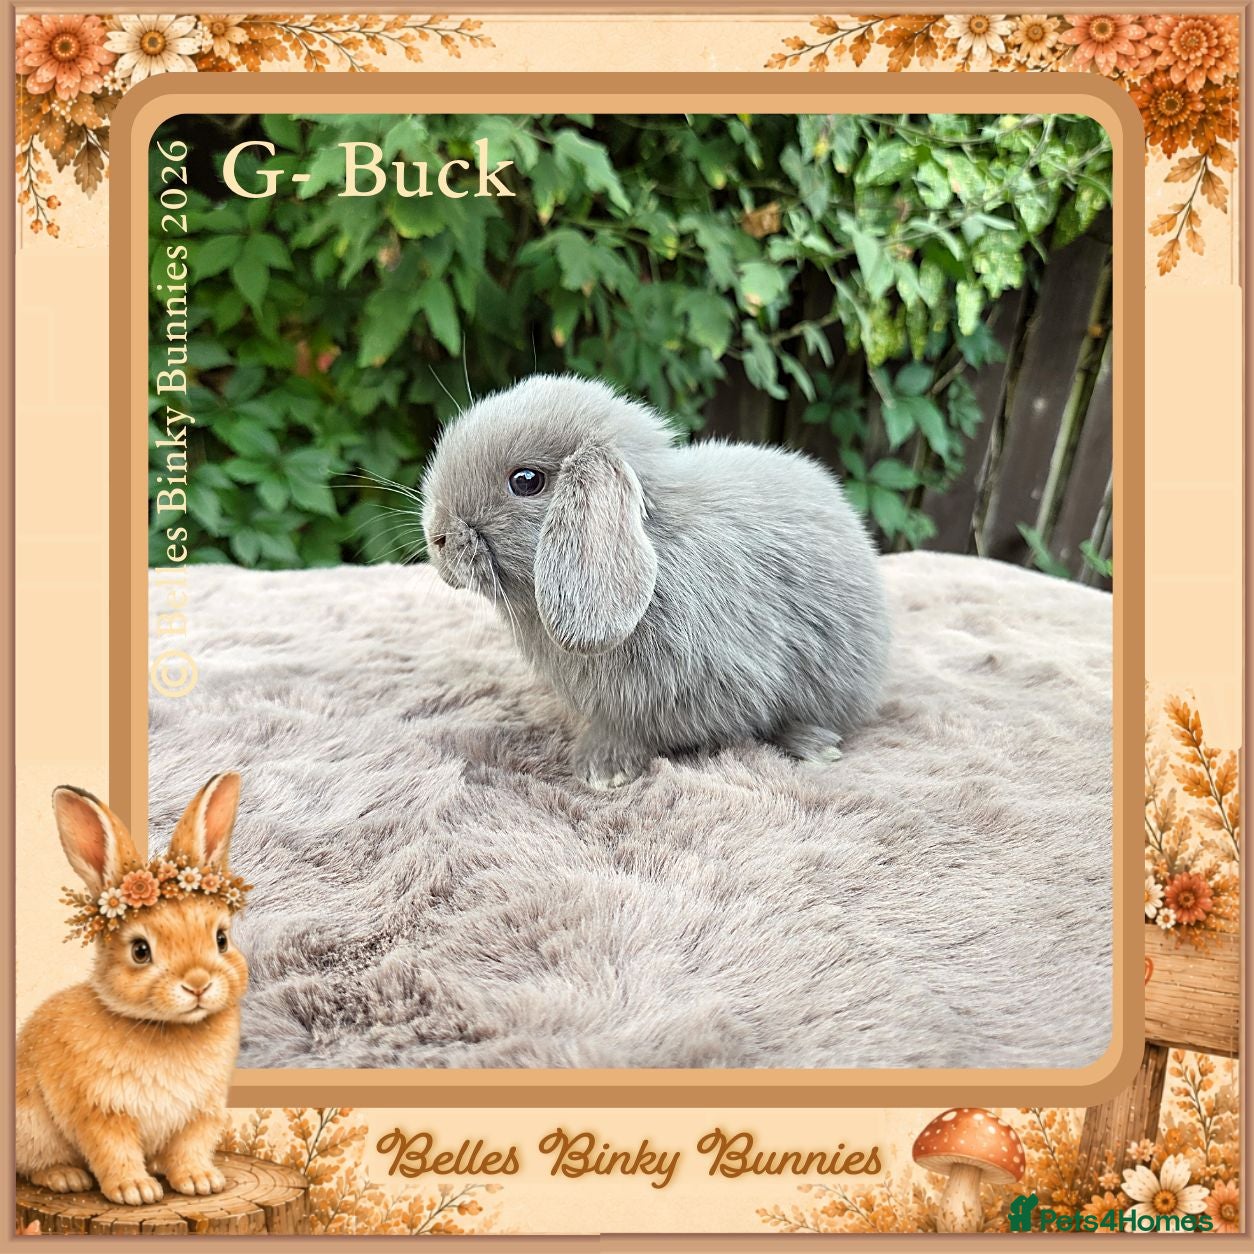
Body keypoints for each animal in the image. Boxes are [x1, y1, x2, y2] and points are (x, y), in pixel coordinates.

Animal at [16, 774, 248, 1206]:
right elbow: (114, 1151)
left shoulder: (200, 1113)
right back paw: (65, 1177)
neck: (168, 1028)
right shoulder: (101, 1111)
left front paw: (201, 1182)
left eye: (221, 939)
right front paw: (135, 1191)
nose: (198, 984)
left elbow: (190, 1148)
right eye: (140, 951)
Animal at [420, 375, 890, 788]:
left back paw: (814, 745)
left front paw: (602, 771)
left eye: (526, 481)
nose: (436, 536)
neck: (657, 541)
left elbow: (639, 732)